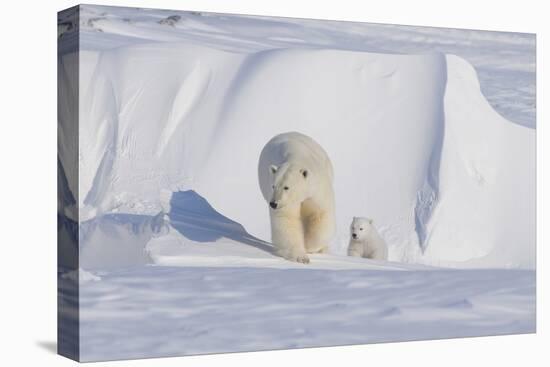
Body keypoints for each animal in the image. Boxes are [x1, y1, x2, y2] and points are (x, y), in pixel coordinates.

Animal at [258, 132, 336, 264]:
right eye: (273, 186)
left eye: (286, 187)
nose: (273, 203)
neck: (297, 156)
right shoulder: (287, 202)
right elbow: (287, 219)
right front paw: (301, 257)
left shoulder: (317, 189)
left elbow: (319, 214)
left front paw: (308, 245)